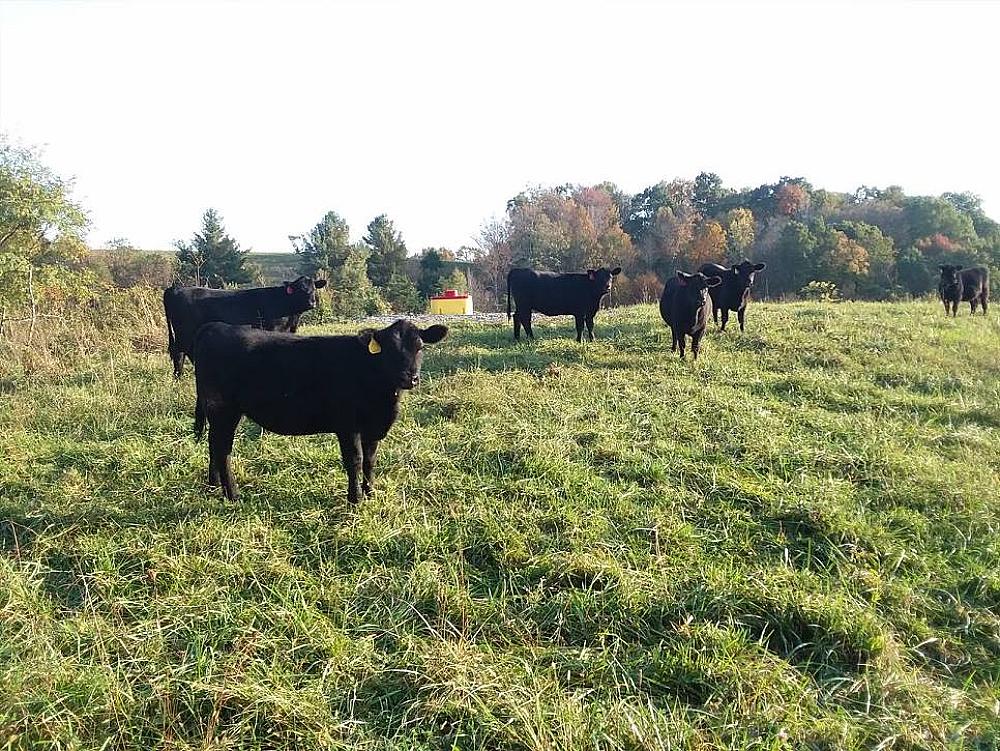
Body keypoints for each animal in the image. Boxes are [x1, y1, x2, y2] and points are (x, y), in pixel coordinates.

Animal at [163, 276, 327, 377]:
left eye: (314, 288)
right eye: (300, 289)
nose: (312, 302)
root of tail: (176, 288)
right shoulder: (272, 328)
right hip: (184, 333)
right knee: (179, 353)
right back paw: (178, 377)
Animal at [192, 319, 448, 504]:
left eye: (420, 347)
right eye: (389, 350)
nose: (410, 378)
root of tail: (215, 326)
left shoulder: (372, 427)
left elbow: (370, 460)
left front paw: (370, 492)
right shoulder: (347, 425)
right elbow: (354, 460)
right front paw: (355, 499)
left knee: (213, 445)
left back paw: (213, 486)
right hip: (224, 409)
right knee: (222, 449)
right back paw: (232, 495)